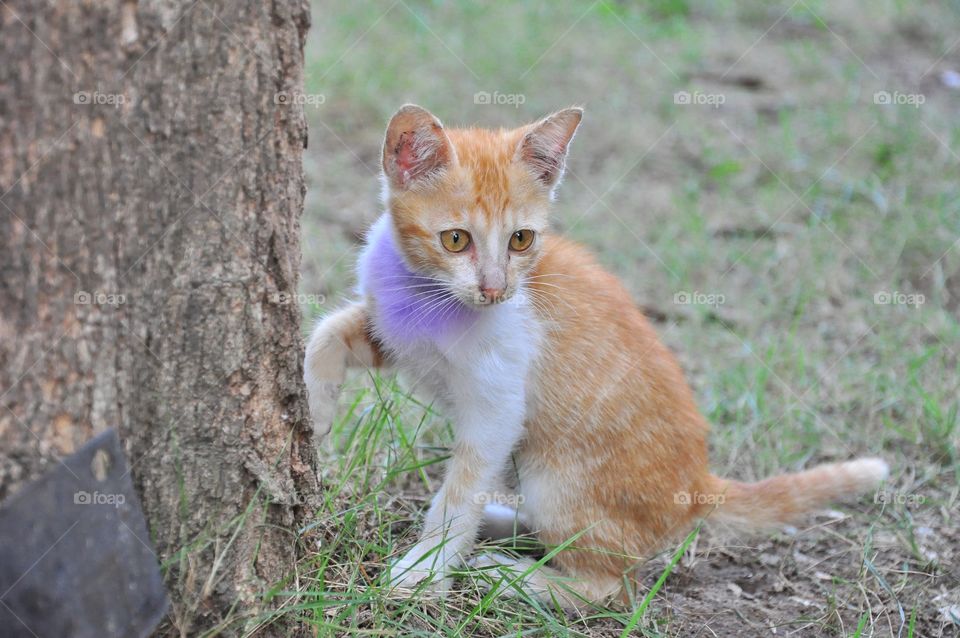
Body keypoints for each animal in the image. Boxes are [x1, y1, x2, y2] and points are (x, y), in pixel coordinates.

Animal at [304, 105, 888, 608]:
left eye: (521, 239)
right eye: (455, 240)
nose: (495, 290)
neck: (427, 295)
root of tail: (699, 486)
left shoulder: (498, 407)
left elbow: (459, 492)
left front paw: (425, 570)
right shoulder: (393, 332)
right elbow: (326, 332)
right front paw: (314, 413)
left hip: (553, 475)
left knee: (610, 585)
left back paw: (509, 575)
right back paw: (501, 527)